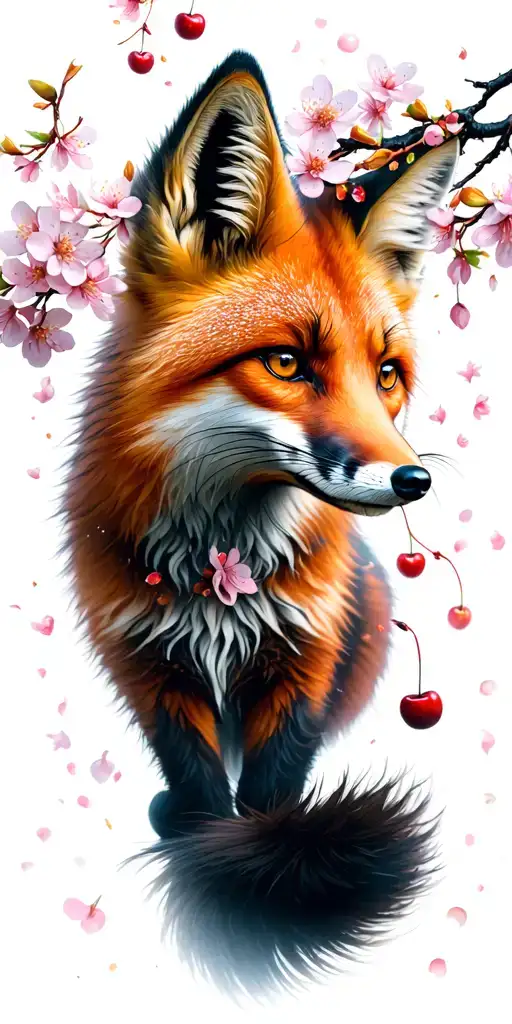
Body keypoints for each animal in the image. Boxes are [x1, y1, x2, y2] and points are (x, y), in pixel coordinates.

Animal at [63, 51, 459, 995]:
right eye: (286, 362)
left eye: (386, 374)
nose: (414, 479)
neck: (219, 572)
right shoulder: (148, 669)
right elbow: (206, 793)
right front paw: (212, 882)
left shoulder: (304, 662)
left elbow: (271, 800)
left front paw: (248, 896)